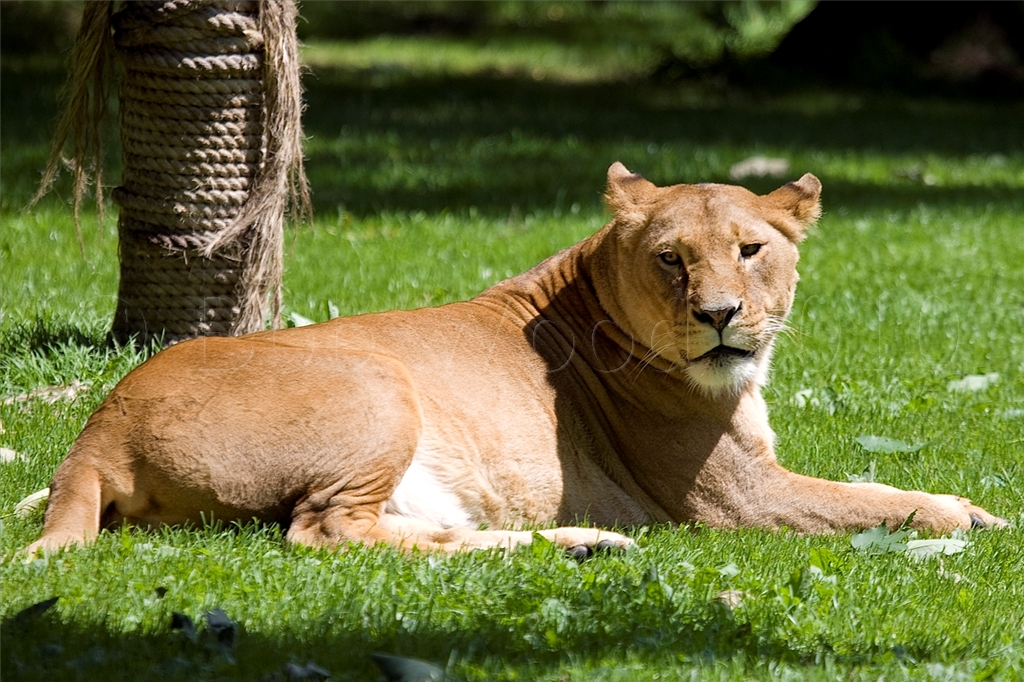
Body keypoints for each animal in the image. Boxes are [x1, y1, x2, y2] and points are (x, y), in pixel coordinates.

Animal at [25, 163, 1004, 557]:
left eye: (750, 250)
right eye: (672, 258)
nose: (720, 315)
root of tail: (99, 428)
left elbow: (866, 489)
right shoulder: (740, 502)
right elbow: (873, 502)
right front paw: (968, 515)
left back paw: (584, 544)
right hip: (377, 382)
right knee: (325, 534)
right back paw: (584, 544)